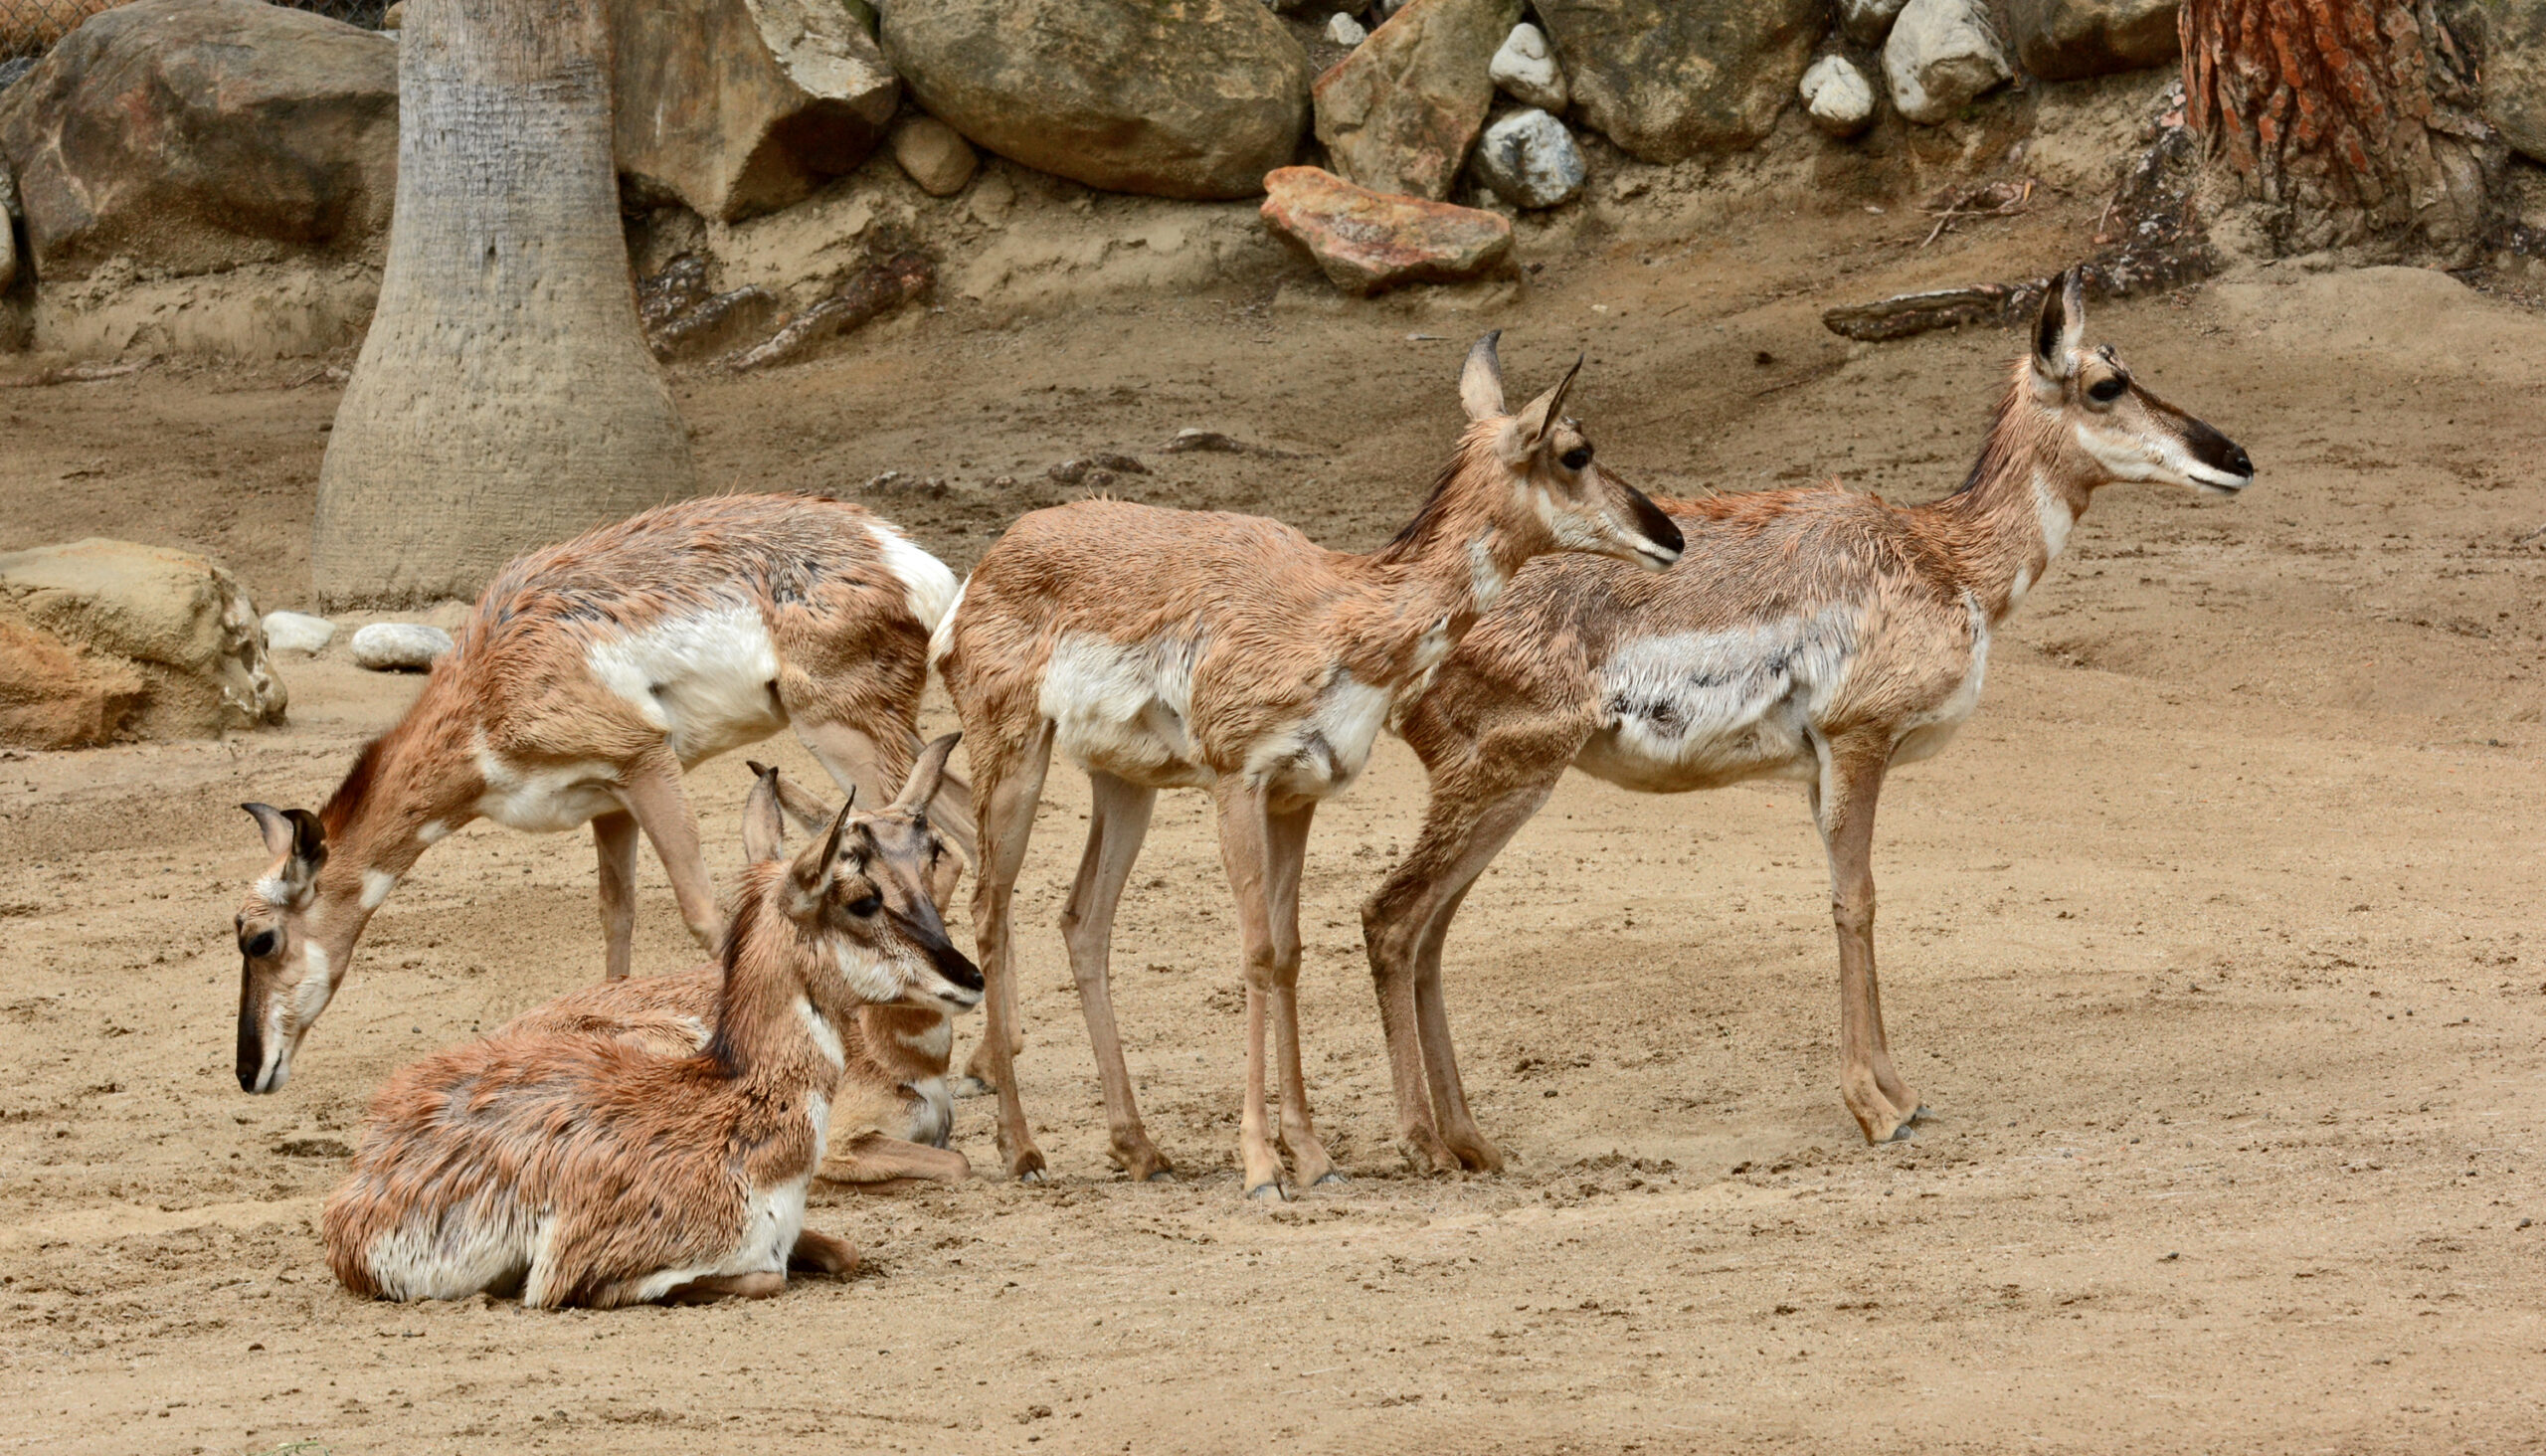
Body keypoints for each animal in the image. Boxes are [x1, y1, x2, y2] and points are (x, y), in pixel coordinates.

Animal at [232, 493, 975, 1095]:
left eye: (261, 939)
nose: (246, 1072)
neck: (485, 689)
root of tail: (900, 553)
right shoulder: (612, 804)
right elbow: (616, 919)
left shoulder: (647, 762)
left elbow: (707, 915)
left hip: (842, 732)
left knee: (945, 839)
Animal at [497, 757, 972, 1186]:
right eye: (854, 862)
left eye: (936, 848)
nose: (963, 971)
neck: (898, 1052)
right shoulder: (839, 1140)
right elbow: (957, 1164)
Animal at [935, 335, 1685, 1196]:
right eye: (1575, 451)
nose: (1671, 536)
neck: (1338, 616)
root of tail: (989, 563)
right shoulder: (1238, 783)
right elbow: (1257, 952)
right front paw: (1263, 1165)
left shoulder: (1298, 798)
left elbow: (1290, 955)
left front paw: (1316, 1158)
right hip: (1014, 752)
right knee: (991, 909)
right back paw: (1021, 1150)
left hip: (1124, 783)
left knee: (1084, 919)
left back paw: (1140, 1148)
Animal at [1363, 271, 2254, 1165]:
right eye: (2105, 384)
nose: (2238, 459)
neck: (1947, 555)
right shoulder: (1859, 743)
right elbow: (1856, 901)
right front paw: (1877, 1108)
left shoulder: (1819, 771)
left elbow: (1851, 896)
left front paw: (1902, 1095)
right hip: (1504, 781)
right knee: (1392, 917)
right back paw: (1425, 1146)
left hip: (1505, 794)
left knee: (1430, 931)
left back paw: (1472, 1142)